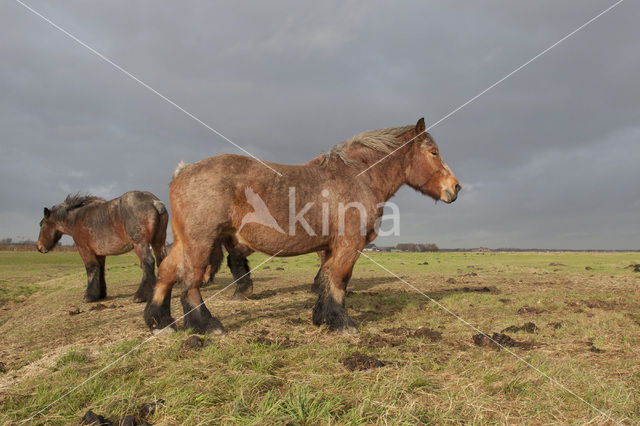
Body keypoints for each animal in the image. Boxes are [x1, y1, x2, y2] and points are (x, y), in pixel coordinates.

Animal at [37, 190, 168, 302]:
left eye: (42, 224)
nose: (39, 247)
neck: (77, 218)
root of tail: (154, 202)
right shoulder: (100, 254)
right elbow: (100, 270)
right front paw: (100, 294)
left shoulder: (85, 250)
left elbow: (91, 269)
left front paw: (89, 296)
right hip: (158, 243)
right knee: (162, 261)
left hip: (140, 245)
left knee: (148, 262)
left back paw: (140, 296)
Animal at [144, 118, 460, 334]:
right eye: (433, 152)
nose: (455, 188)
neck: (356, 177)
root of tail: (183, 171)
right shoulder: (349, 245)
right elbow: (340, 279)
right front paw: (342, 322)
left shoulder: (330, 247)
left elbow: (327, 280)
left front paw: (323, 317)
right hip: (200, 242)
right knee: (189, 279)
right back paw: (207, 324)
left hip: (184, 241)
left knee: (167, 272)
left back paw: (159, 320)